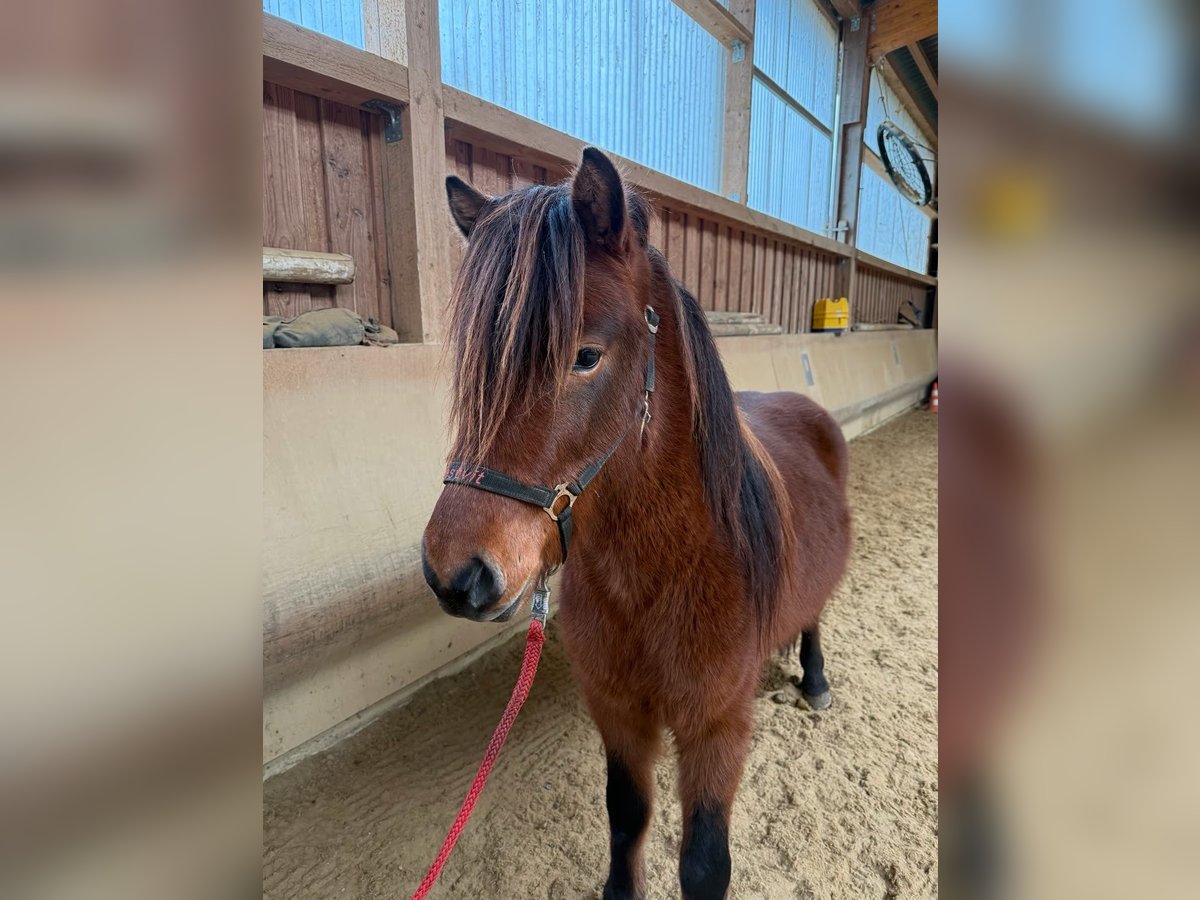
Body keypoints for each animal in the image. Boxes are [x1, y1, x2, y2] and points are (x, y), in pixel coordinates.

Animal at [422, 150, 854, 900]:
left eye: (586, 356)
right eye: (479, 364)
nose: (457, 574)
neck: (661, 572)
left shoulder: (716, 726)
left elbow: (705, 862)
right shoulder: (618, 712)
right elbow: (627, 816)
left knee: (814, 618)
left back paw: (815, 678)